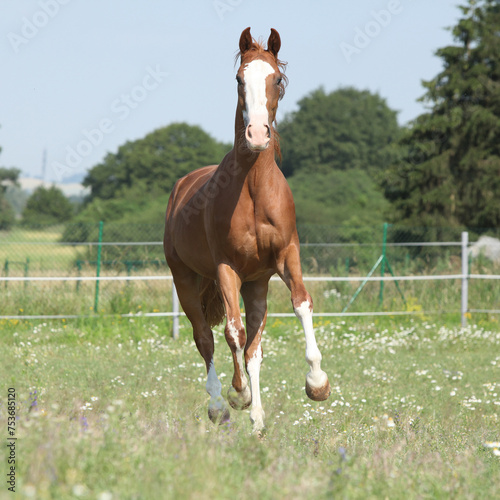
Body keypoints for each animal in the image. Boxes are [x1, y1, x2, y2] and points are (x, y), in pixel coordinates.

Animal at [163, 28, 328, 434]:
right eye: (239, 79)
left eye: (278, 80)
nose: (256, 133)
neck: (253, 190)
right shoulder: (227, 269)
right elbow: (231, 333)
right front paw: (239, 394)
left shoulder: (286, 256)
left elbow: (301, 304)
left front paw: (317, 383)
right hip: (185, 279)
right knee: (205, 338)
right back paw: (221, 406)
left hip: (256, 285)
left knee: (254, 348)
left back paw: (257, 419)